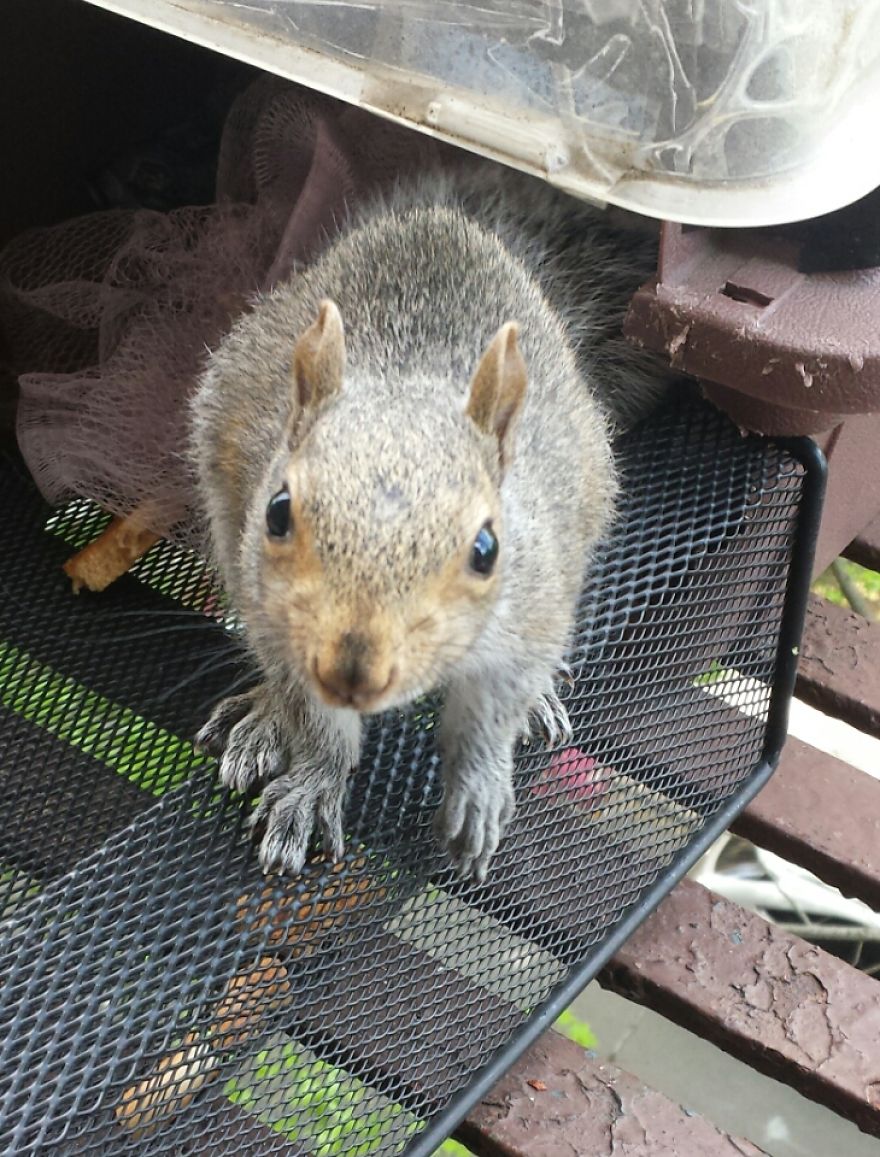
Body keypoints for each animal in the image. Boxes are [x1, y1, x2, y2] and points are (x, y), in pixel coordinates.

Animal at [190, 160, 671, 881]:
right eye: (278, 511)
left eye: (486, 548)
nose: (353, 669)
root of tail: (447, 223)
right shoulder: (272, 607)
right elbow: (312, 714)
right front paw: (313, 780)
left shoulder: (532, 602)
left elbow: (496, 705)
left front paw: (479, 786)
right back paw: (265, 716)